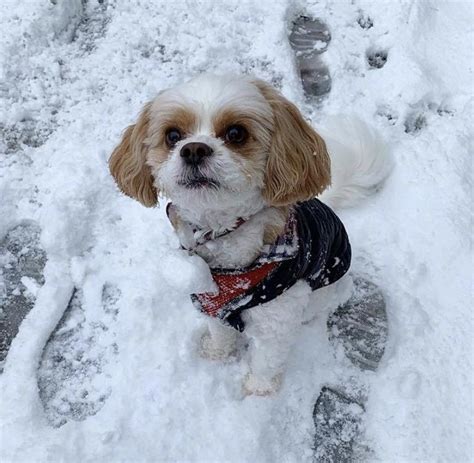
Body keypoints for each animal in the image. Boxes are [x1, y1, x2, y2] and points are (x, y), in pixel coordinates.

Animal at [109, 74, 390, 396]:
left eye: (235, 133)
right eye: (172, 135)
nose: (193, 150)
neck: (223, 233)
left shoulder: (276, 319)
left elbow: (267, 359)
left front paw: (259, 391)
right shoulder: (211, 303)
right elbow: (220, 333)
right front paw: (216, 354)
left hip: (324, 287)